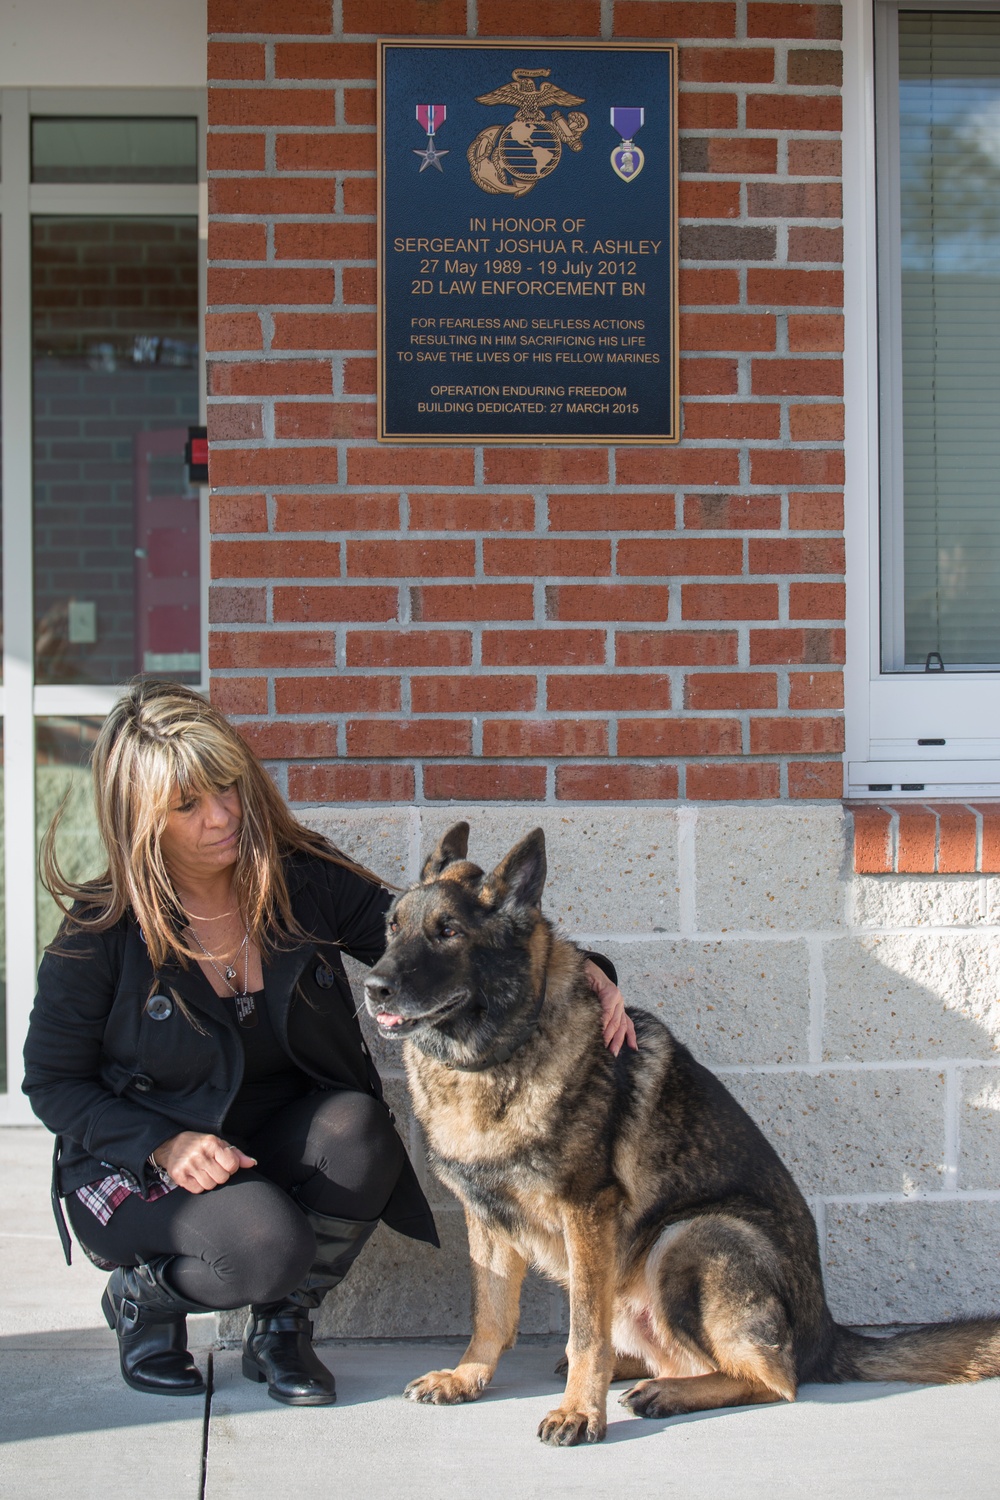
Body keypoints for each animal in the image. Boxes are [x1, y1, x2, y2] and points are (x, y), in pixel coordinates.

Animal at [364, 828, 995, 1446]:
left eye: (448, 932)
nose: (373, 987)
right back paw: (635, 1372)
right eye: (392, 926)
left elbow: (583, 1332)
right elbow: (491, 1314)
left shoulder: (586, 1210)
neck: (499, 1052)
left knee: (775, 1379)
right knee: (672, 1352)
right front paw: (468, 1376)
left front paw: (578, 1410)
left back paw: (665, 1392)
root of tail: (827, 1335)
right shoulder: (488, 1220)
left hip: (690, 1236)